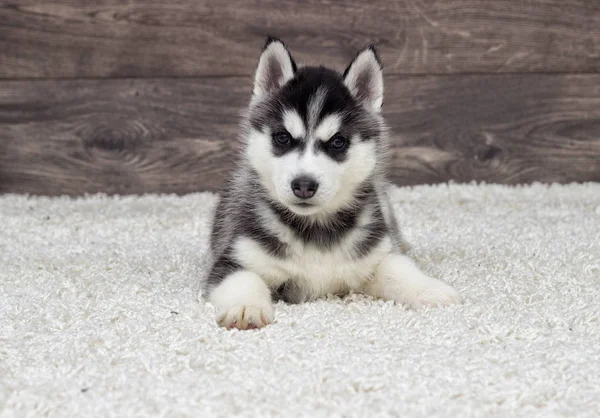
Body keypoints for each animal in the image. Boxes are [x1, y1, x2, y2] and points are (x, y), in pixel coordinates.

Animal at [204, 37, 462, 328]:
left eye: (338, 142)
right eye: (282, 137)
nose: (304, 185)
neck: (315, 227)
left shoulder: (374, 256)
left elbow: (398, 268)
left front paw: (431, 289)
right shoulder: (233, 258)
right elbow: (243, 278)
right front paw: (246, 307)